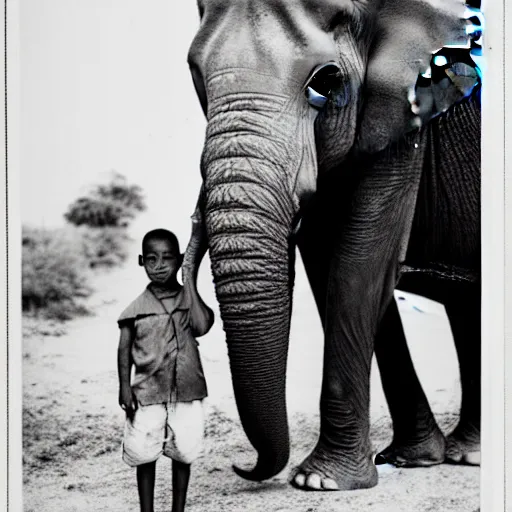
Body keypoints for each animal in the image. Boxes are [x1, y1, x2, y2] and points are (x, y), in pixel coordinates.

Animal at [182, 0, 482, 492]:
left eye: (326, 83)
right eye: (196, 76)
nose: (244, 467)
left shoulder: (409, 99)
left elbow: (358, 265)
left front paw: (320, 482)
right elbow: (329, 260)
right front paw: (413, 458)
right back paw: (465, 451)